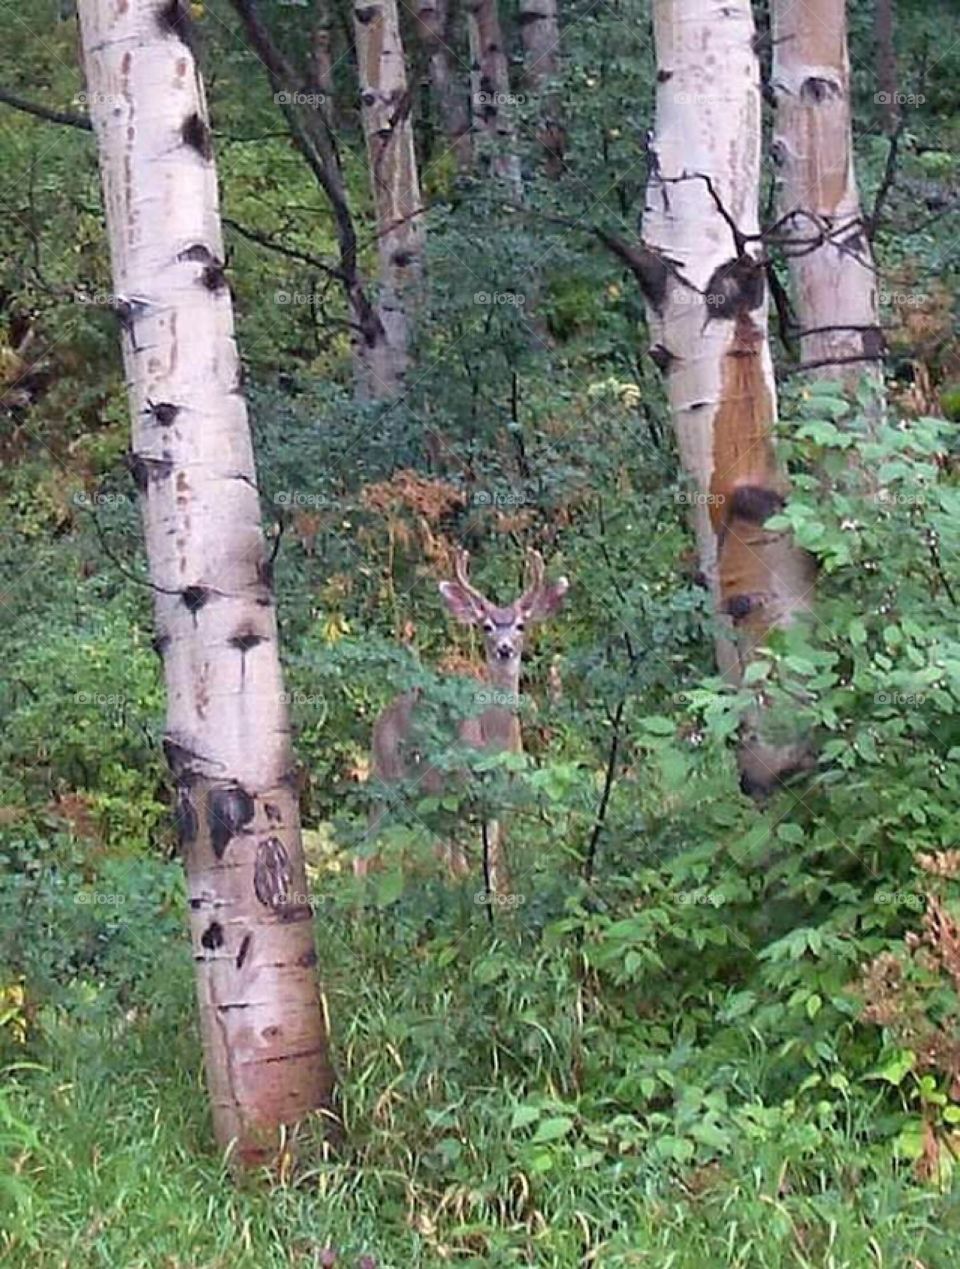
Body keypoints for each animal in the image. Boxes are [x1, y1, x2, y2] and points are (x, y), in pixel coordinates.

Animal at [359, 548, 569, 897]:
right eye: (486, 626)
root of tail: (382, 714)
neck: (493, 742)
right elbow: (461, 864)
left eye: (521, 625)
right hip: (388, 775)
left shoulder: (498, 797)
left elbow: (493, 859)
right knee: (368, 843)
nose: (504, 649)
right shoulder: (458, 789)